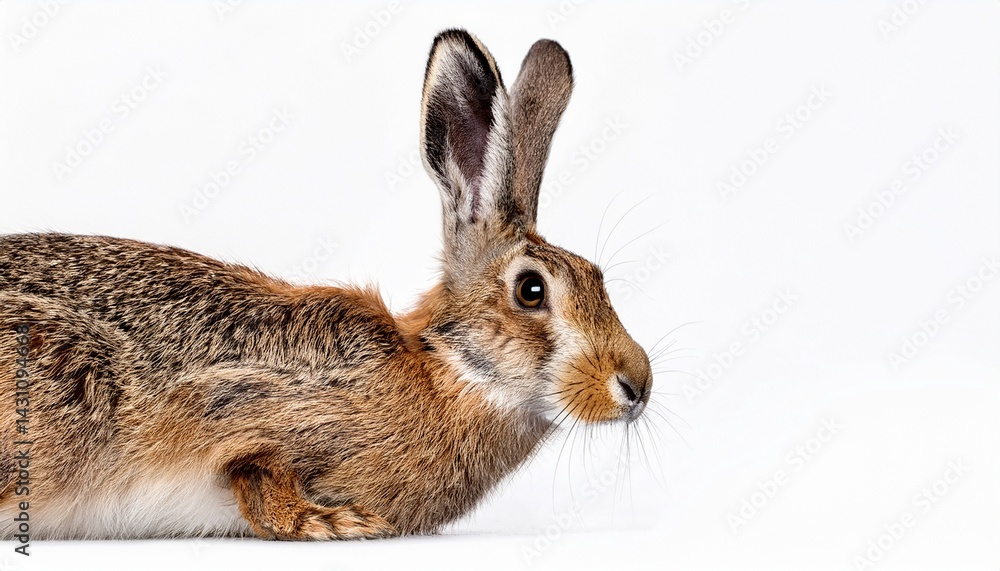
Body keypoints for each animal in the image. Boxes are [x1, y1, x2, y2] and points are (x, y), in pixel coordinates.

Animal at [0, 28, 652, 540]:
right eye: (531, 291)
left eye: (598, 278)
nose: (637, 384)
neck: (444, 367)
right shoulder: (256, 410)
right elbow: (258, 474)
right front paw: (331, 523)